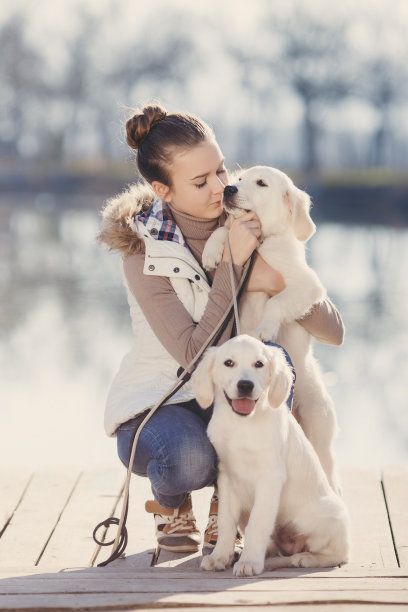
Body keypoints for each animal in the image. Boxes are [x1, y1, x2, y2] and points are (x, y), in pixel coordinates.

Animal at [191, 338, 350, 576]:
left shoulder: (270, 477)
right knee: (279, 551)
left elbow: (258, 522)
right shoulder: (226, 477)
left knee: (340, 554)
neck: (242, 424)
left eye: (259, 364)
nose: (245, 385)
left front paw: (249, 562)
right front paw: (220, 557)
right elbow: (225, 521)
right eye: (228, 363)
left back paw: (306, 558)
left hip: (330, 514)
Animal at [202, 166, 340, 492]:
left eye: (261, 183)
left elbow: (276, 302)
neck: (262, 242)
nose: (227, 190)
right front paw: (212, 250)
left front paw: (264, 329)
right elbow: (225, 231)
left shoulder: (308, 286)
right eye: (238, 180)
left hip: (320, 428)